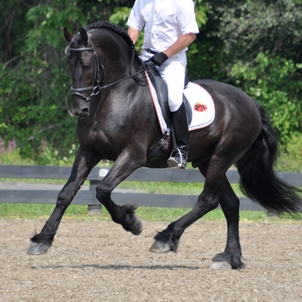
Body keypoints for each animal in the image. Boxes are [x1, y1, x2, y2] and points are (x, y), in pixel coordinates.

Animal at [27, 21, 300, 268]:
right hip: (207, 161)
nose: (79, 109)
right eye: (68, 64)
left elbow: (102, 189)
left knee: (208, 200)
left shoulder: (133, 155)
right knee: (230, 204)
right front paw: (43, 239)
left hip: (221, 158)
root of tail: (250, 101)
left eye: (86, 63)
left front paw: (131, 222)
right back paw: (229, 257)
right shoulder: (88, 152)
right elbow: (66, 193)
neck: (115, 94)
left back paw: (166, 237)